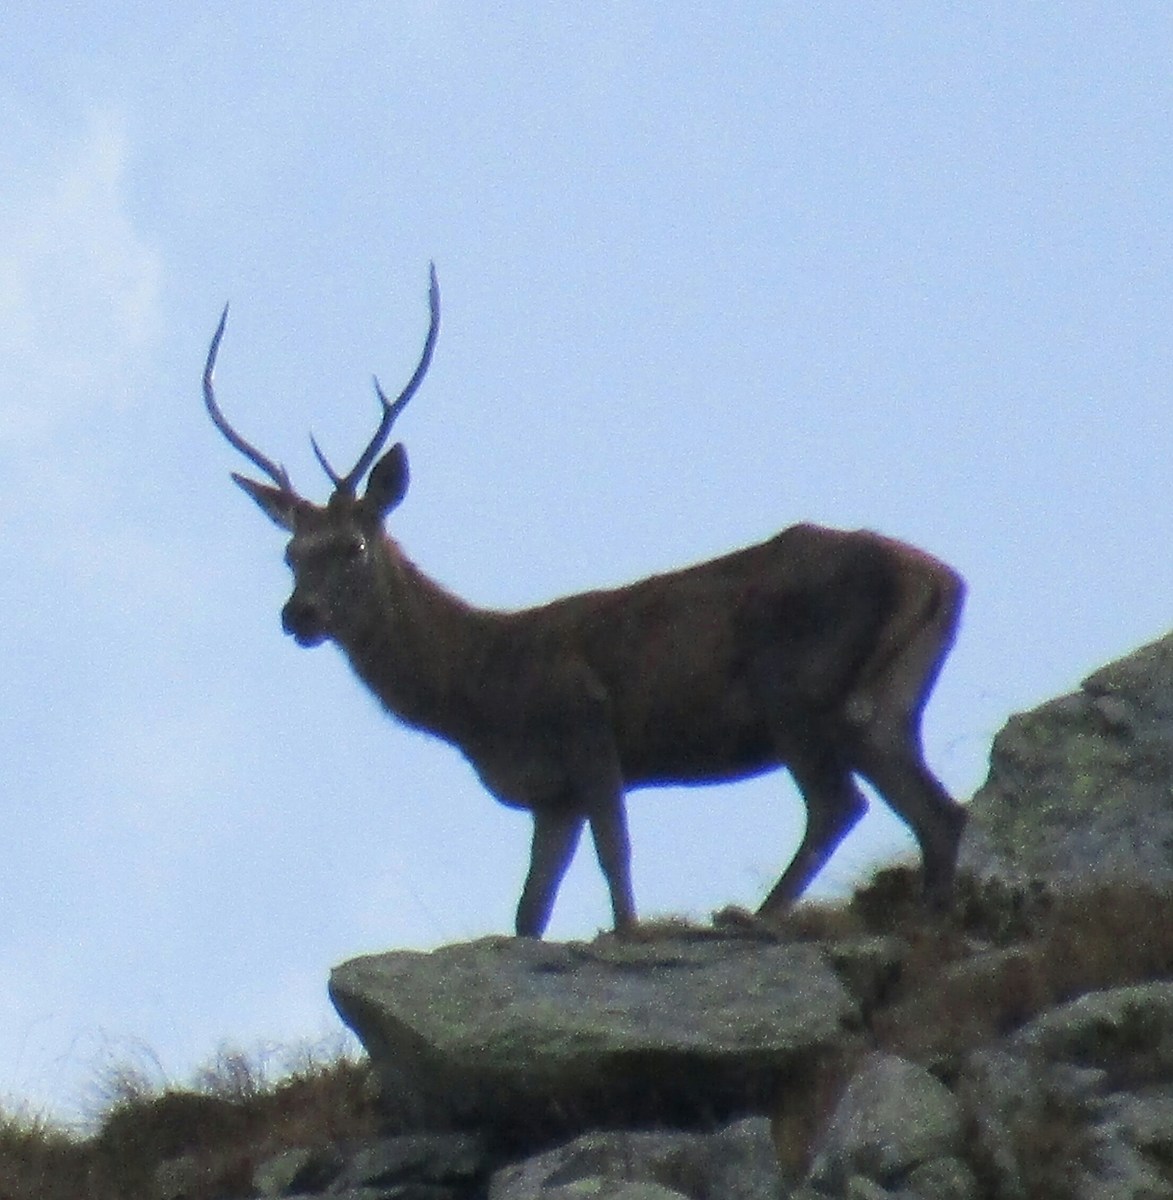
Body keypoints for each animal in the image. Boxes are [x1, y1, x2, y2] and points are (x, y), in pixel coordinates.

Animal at [202, 265, 967, 939]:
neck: (477, 693)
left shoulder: (586, 721)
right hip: (886, 701)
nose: (298, 616)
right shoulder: (552, 798)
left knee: (839, 804)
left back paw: (756, 917)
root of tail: (942, 581)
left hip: (796, 685)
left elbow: (615, 854)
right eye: (290, 555)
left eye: (354, 548)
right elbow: (529, 911)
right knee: (938, 813)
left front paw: (627, 934)